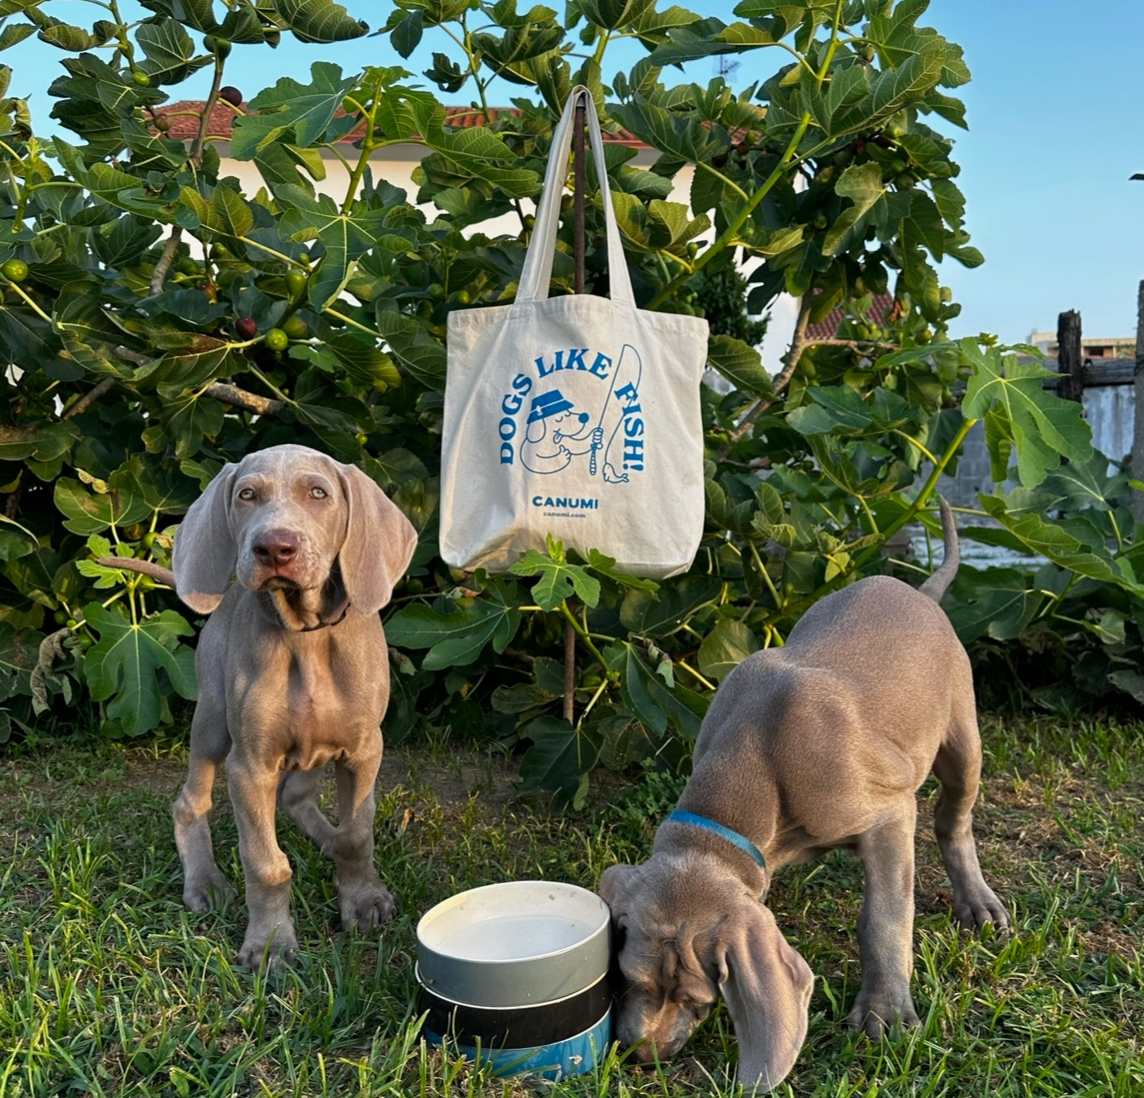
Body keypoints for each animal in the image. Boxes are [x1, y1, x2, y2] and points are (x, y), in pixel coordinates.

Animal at [102, 441, 416, 965]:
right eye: (247, 494)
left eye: (318, 493)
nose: (274, 548)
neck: (305, 634)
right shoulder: (249, 766)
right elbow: (266, 863)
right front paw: (270, 944)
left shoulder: (363, 749)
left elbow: (357, 835)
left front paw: (363, 899)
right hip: (212, 723)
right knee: (189, 803)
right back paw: (205, 882)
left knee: (297, 796)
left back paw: (326, 841)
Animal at [599, 500, 1011, 1093]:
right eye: (628, 978)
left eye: (697, 999)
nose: (641, 1055)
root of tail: (920, 591)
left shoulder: (890, 813)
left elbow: (884, 917)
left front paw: (885, 1011)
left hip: (962, 735)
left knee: (953, 818)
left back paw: (977, 902)